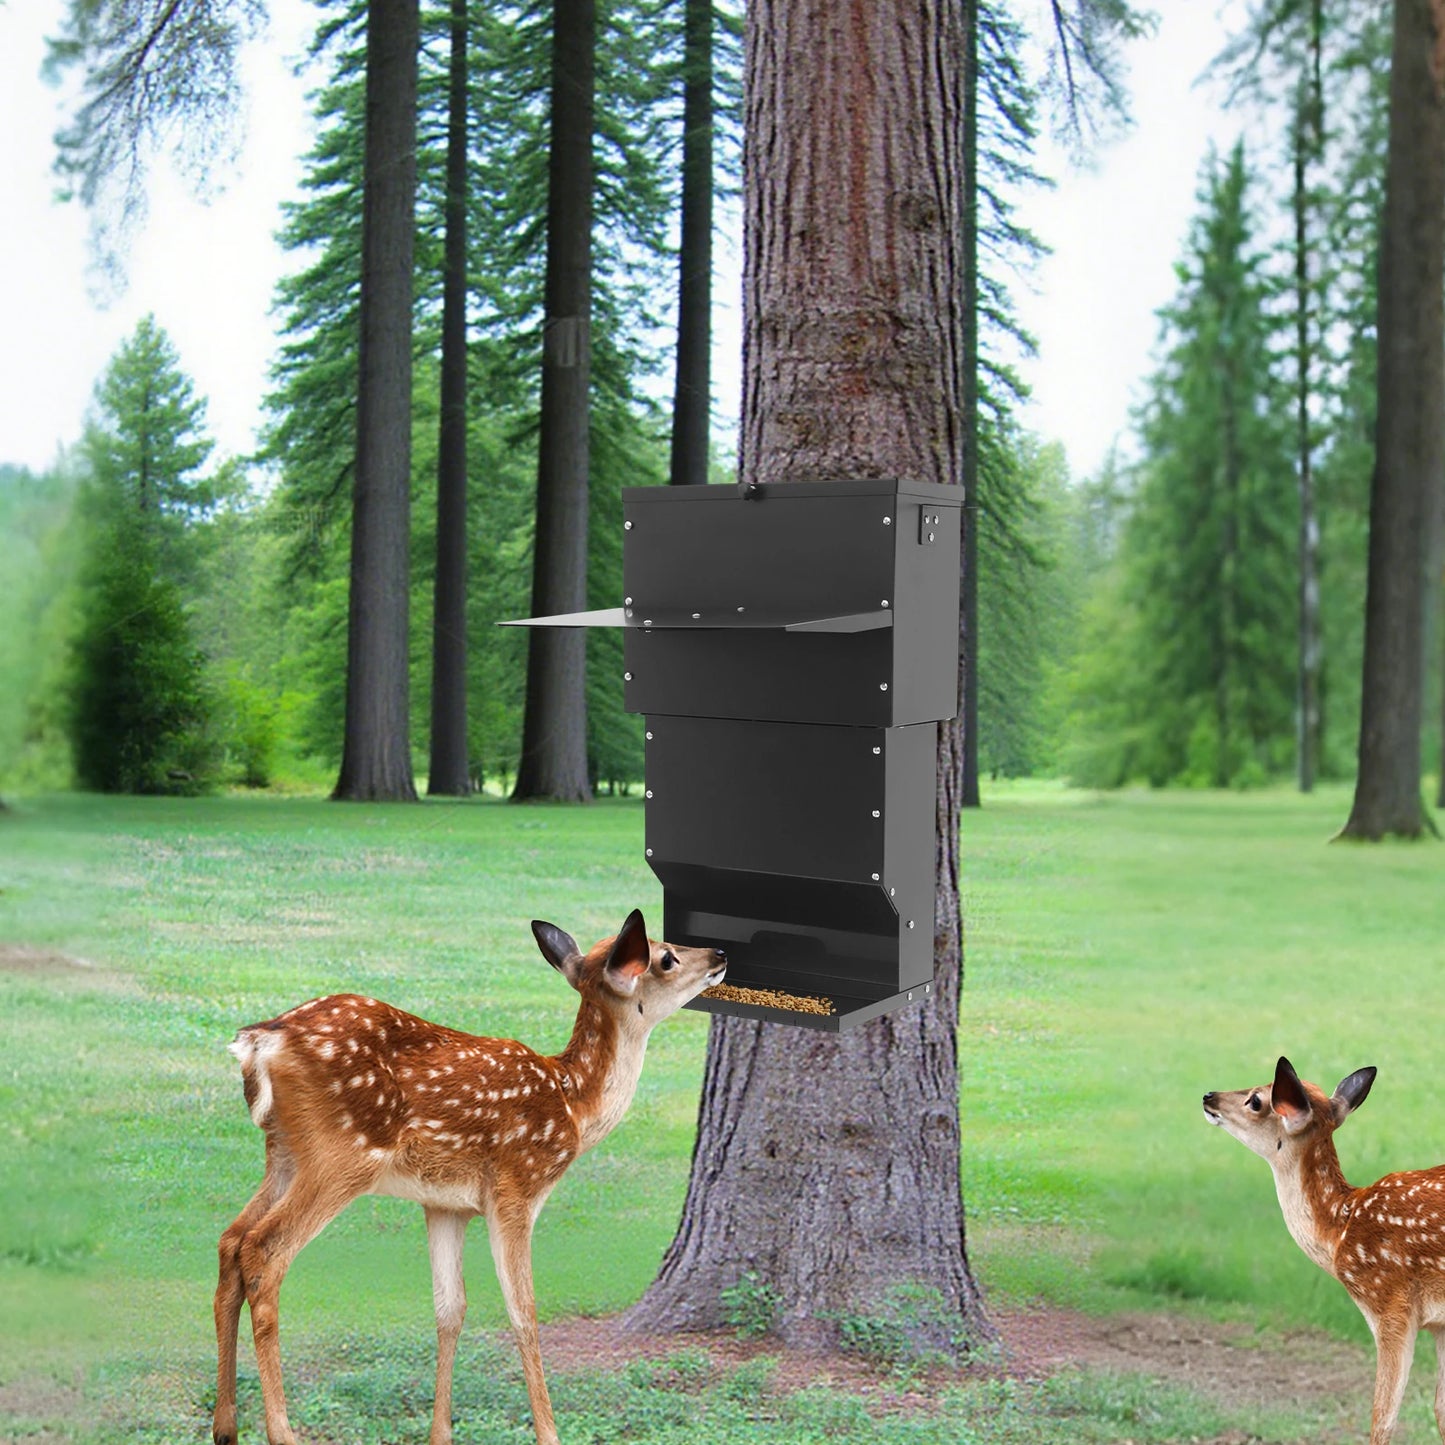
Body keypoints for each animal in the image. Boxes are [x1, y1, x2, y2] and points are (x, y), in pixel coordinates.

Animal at [212, 909, 727, 1445]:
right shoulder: (516, 1187)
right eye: (665, 958)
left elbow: (449, 1310)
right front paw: (549, 1433)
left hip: (284, 1152)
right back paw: (281, 1431)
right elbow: (524, 1315)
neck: (574, 1105)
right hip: (343, 1154)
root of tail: (258, 1043)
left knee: (231, 1240)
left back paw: (225, 1425)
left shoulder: (445, 1203)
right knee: (263, 1249)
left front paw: (440, 1433)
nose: (719, 954)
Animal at [1203, 1055, 1445, 1444]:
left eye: (1256, 1100)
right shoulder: (1439, 1324)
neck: (1340, 1230)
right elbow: (1439, 1409)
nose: (1209, 1096)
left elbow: (1383, 1417)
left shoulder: (1390, 1303)